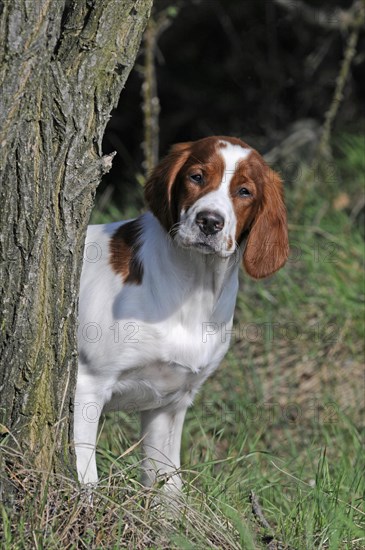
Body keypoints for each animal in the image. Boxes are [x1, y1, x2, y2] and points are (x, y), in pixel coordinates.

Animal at [74, 136, 288, 490]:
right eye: (196, 177)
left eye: (245, 191)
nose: (210, 222)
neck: (194, 289)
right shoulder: (87, 387)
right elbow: (86, 479)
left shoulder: (170, 405)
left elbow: (169, 487)